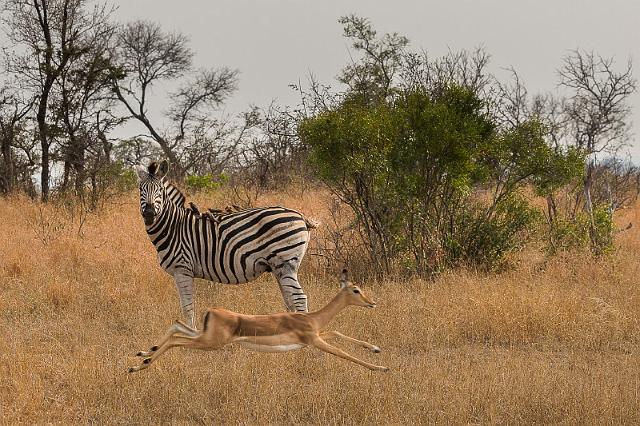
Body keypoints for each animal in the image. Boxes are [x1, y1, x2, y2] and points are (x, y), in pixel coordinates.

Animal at [129, 272, 390, 372]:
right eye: (356, 290)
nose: (372, 303)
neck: (312, 317)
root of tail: (212, 311)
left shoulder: (313, 338)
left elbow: (336, 333)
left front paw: (376, 348)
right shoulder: (314, 341)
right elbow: (343, 353)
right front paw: (381, 368)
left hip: (205, 337)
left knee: (175, 327)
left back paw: (142, 354)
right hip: (211, 343)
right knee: (176, 341)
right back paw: (140, 364)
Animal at [134, 161, 318, 330]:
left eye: (160, 190)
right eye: (141, 190)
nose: (149, 214)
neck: (174, 227)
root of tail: (300, 215)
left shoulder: (182, 269)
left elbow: (188, 308)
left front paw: (191, 335)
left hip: (285, 262)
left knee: (299, 299)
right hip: (278, 267)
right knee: (289, 300)